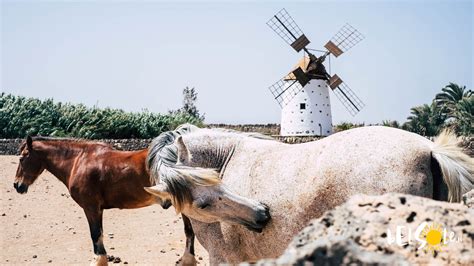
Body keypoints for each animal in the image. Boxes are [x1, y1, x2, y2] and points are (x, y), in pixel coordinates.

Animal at [12, 136, 197, 264]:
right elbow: (99, 234)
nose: (17, 185)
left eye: (22, 158)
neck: (78, 161)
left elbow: (96, 235)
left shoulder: (91, 207)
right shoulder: (97, 209)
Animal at [144, 124, 470, 264]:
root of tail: (429, 148)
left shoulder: (224, 259)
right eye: (204, 201)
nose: (262, 215)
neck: (227, 156)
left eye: (220, 185)